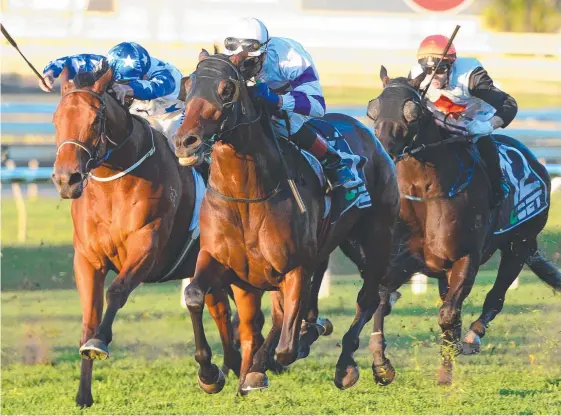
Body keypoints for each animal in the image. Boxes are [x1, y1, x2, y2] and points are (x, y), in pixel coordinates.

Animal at [53, 61, 242, 406]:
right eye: (57, 119)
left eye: (95, 119)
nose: (66, 179)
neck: (114, 182)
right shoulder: (87, 259)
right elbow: (89, 317)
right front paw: (83, 394)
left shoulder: (147, 246)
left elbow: (116, 291)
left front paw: (100, 342)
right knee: (220, 309)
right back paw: (223, 369)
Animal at [172, 51, 398, 394]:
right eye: (187, 86)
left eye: (227, 90)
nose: (186, 141)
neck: (247, 197)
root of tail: (368, 133)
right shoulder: (221, 262)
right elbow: (196, 296)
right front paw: (210, 373)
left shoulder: (295, 267)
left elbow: (285, 347)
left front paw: (258, 368)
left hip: (375, 240)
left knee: (368, 298)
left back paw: (350, 364)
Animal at [366, 66, 556, 386]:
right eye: (373, 109)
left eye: (412, 111)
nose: (384, 152)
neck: (426, 192)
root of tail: (535, 163)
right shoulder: (405, 260)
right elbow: (381, 299)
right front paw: (381, 364)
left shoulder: (466, 259)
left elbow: (448, 315)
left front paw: (445, 375)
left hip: (519, 245)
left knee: (495, 297)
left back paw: (472, 337)